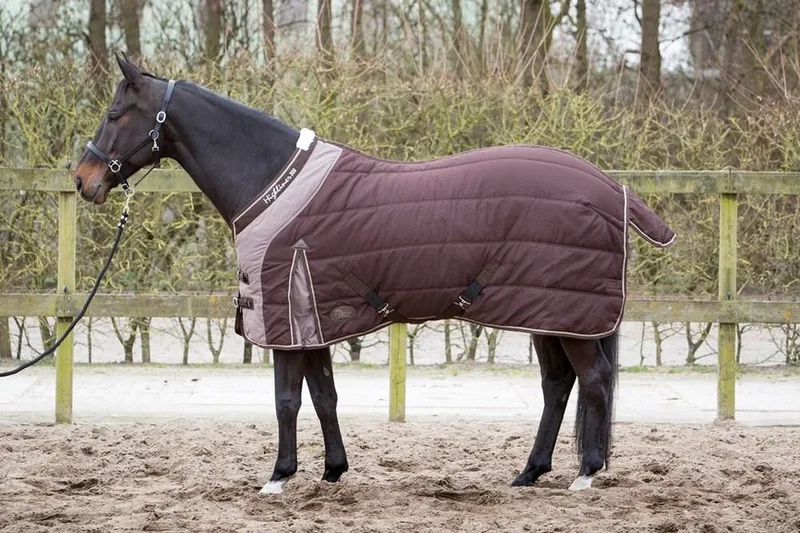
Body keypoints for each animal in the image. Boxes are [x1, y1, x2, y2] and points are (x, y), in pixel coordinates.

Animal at [73, 53, 675, 494]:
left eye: (114, 113)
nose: (83, 179)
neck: (271, 182)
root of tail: (614, 190)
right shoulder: (311, 317)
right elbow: (324, 396)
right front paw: (332, 471)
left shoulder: (286, 322)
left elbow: (287, 400)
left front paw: (278, 477)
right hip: (549, 314)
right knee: (558, 385)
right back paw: (530, 473)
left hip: (568, 316)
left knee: (591, 382)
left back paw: (585, 475)